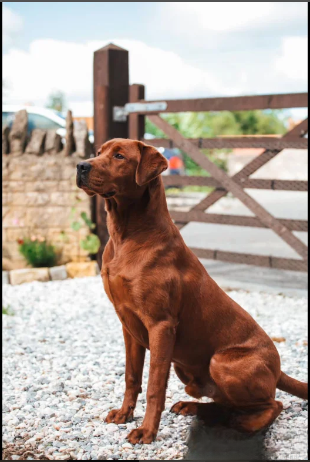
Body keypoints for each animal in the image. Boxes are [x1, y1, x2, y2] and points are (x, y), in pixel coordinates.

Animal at [77, 138, 308, 444]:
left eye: (119, 156)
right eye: (99, 152)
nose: (81, 165)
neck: (125, 236)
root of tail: (279, 368)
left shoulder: (161, 326)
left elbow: (154, 386)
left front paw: (147, 431)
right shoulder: (129, 326)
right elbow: (131, 377)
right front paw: (125, 414)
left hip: (222, 362)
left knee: (273, 404)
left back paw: (243, 425)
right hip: (185, 367)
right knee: (226, 403)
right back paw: (194, 408)